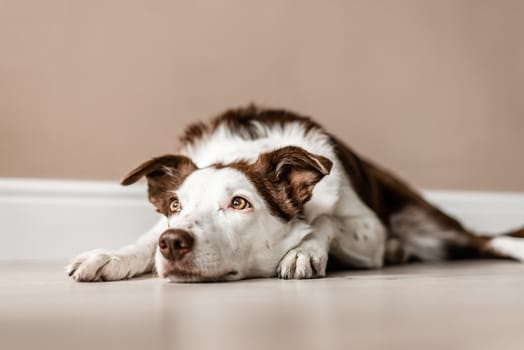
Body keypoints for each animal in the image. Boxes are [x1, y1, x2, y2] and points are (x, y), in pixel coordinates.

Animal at [65, 106, 524, 282]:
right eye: (175, 206)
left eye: (239, 203)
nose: (173, 242)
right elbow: (143, 240)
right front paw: (110, 257)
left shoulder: (369, 231)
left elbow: (325, 219)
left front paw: (304, 251)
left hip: (427, 224)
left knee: (483, 239)